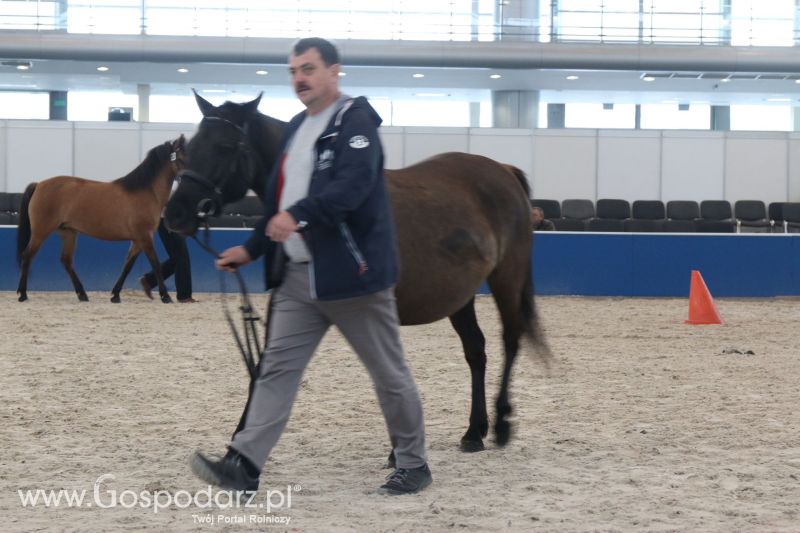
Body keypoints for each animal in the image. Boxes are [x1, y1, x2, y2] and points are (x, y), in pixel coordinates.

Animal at [16, 135, 186, 304]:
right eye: (182, 158)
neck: (146, 192)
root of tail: (39, 185)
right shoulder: (145, 237)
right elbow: (155, 264)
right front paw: (165, 296)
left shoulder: (138, 240)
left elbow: (127, 266)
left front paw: (115, 295)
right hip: (41, 232)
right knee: (27, 256)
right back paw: (23, 294)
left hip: (68, 232)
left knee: (66, 260)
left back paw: (82, 294)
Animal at [165, 93, 548, 456]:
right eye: (188, 149)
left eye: (224, 146)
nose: (174, 214)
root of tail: (503, 171)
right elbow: (267, 364)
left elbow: (388, 372)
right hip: (460, 296)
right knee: (475, 351)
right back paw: (473, 432)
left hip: (506, 279)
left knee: (510, 340)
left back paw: (501, 424)